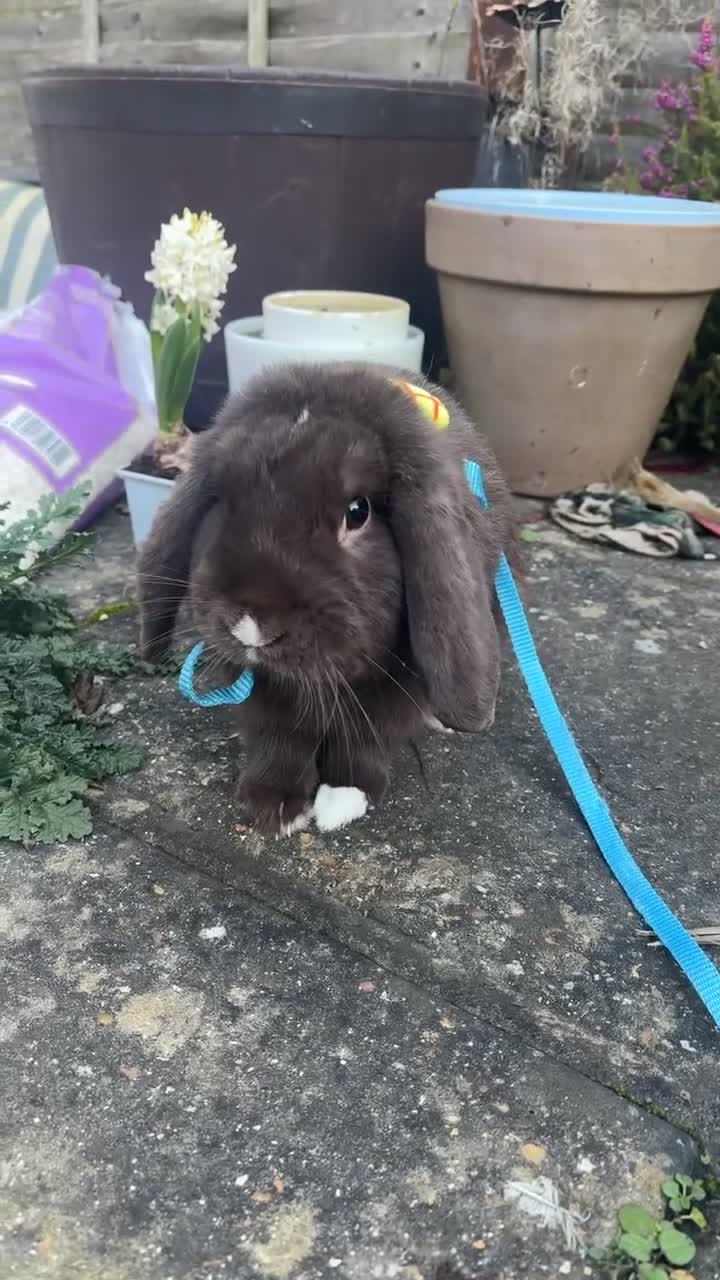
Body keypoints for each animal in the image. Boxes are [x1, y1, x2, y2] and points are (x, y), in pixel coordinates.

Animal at [136, 362, 515, 837]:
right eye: (221, 501)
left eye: (358, 512)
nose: (251, 625)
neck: (314, 680)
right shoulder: (264, 695)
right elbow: (280, 740)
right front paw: (273, 807)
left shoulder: (391, 693)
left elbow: (364, 742)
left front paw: (342, 800)